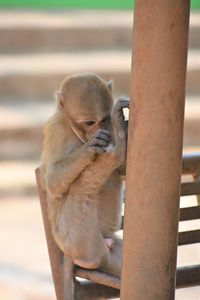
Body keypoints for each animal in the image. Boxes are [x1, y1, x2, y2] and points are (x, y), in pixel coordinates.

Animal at [39, 72, 129, 282]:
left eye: (103, 119)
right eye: (89, 122)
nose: (96, 131)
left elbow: (122, 171)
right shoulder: (56, 130)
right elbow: (52, 182)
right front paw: (90, 148)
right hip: (74, 238)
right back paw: (115, 152)